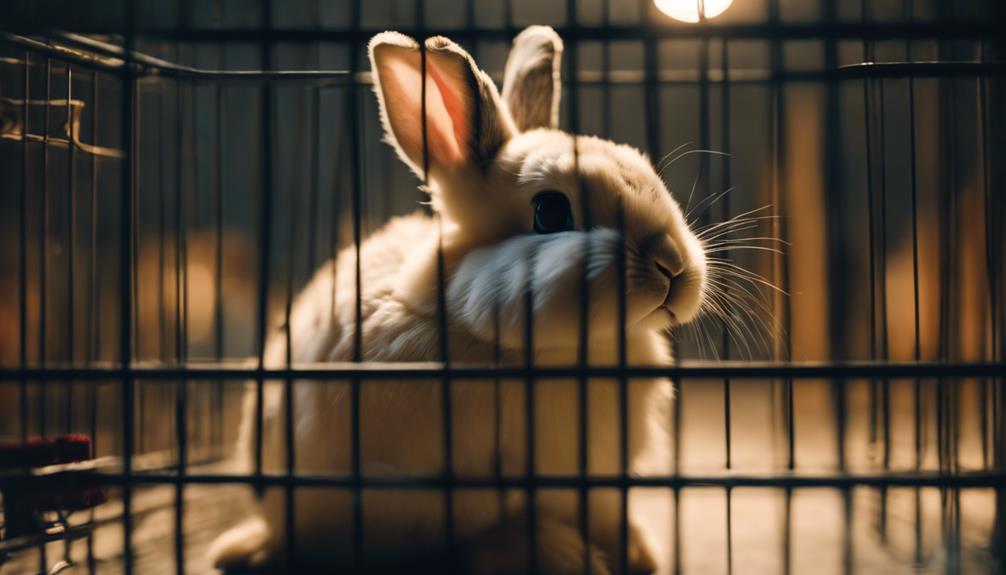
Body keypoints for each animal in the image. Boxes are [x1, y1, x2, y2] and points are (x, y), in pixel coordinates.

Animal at [207, 25, 708, 574]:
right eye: (550, 212)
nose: (672, 265)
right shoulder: (434, 494)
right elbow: (487, 534)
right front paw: (565, 555)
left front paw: (637, 554)